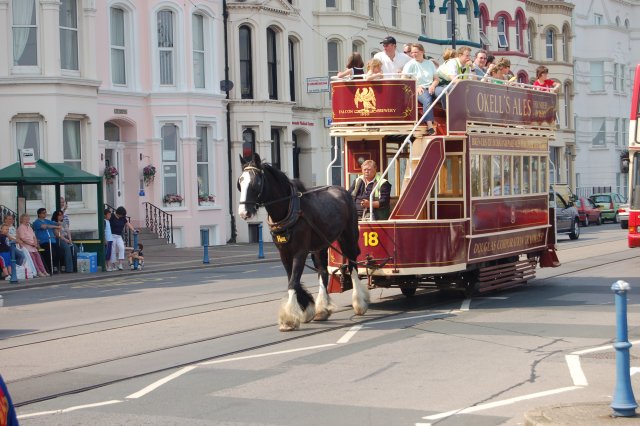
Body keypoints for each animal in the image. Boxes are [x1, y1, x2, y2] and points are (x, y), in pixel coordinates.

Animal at [239, 154, 370, 332]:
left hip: (348, 237)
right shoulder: (284, 253)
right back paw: (322, 309)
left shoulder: (300, 252)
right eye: (240, 182)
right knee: (323, 271)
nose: (243, 213)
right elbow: (292, 279)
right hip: (321, 245)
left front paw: (288, 318)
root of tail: (343, 190)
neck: (288, 209)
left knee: (352, 264)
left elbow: (293, 281)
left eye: (256, 183)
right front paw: (306, 308)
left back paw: (359, 303)